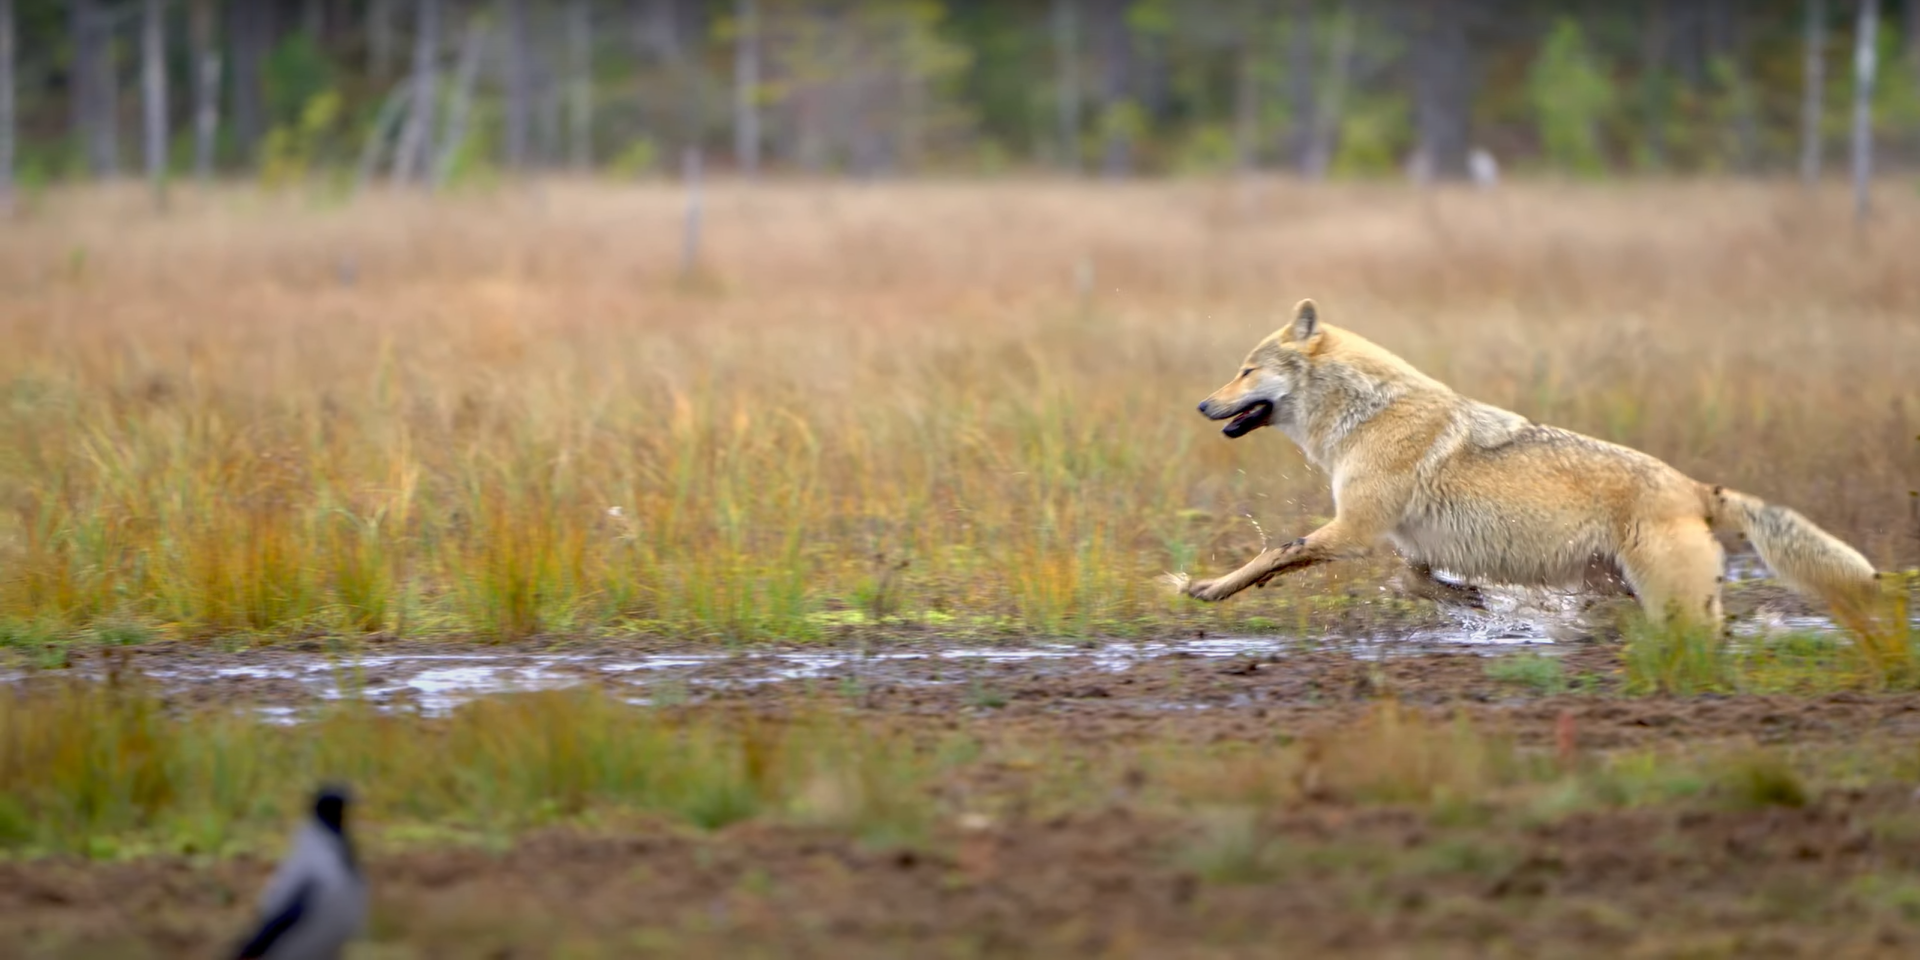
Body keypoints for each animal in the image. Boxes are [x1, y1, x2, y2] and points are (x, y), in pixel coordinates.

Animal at [1175, 295, 1881, 633]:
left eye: (1245, 370)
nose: (1202, 404)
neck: (1365, 415)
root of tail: (1697, 488)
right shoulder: (1406, 547)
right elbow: (1416, 584)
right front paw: (1478, 602)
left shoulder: (1352, 532)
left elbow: (1274, 553)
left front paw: (1206, 588)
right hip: (1617, 583)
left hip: (1665, 595)